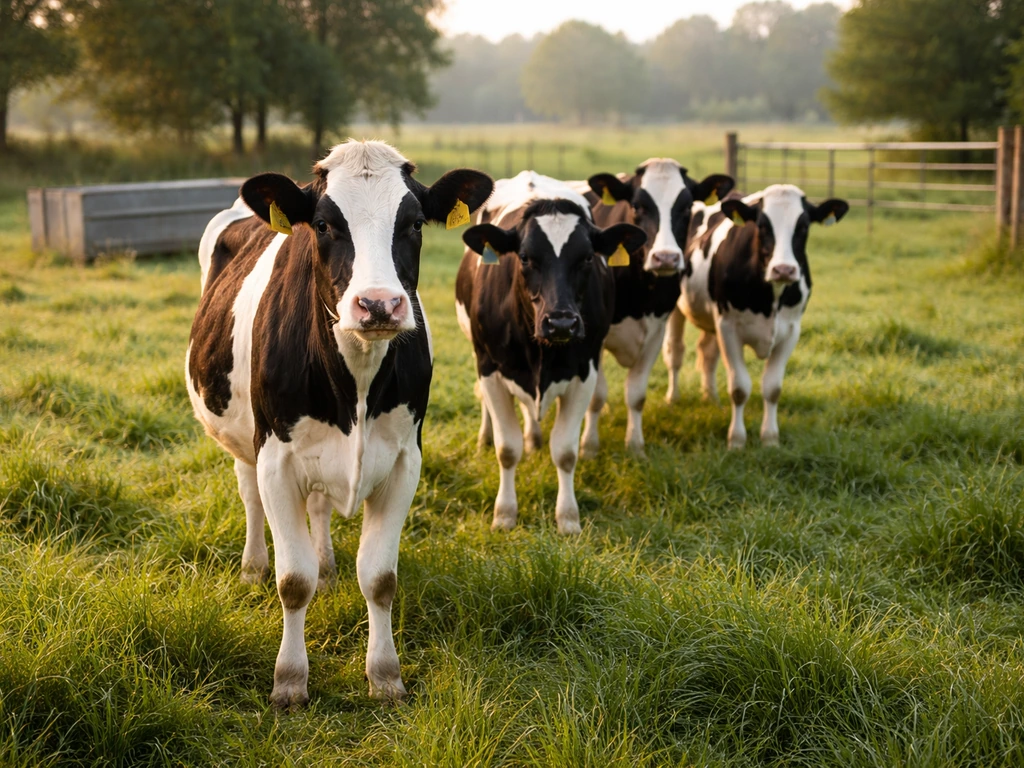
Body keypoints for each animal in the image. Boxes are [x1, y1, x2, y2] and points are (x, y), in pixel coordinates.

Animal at [185, 139, 493, 708]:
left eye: (414, 223)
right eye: (325, 224)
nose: (378, 304)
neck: (357, 379)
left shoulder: (404, 461)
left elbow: (379, 577)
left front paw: (385, 676)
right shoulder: (276, 460)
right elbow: (293, 581)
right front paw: (289, 681)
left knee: (320, 507)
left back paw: (327, 564)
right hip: (244, 440)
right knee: (248, 495)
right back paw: (252, 567)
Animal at [455, 171, 646, 534]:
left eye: (587, 258)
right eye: (525, 257)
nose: (561, 323)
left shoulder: (584, 372)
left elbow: (566, 452)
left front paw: (568, 517)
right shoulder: (490, 368)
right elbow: (507, 449)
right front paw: (505, 514)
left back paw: (534, 438)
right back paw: (488, 437)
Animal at [574, 159, 734, 456]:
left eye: (687, 206)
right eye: (638, 206)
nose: (666, 258)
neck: (638, 292)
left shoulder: (655, 330)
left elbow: (636, 395)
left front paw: (635, 446)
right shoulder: (594, 337)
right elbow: (596, 395)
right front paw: (589, 447)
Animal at [663, 184, 848, 448]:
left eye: (803, 226)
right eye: (762, 225)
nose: (784, 269)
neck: (770, 298)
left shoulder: (791, 331)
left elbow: (772, 388)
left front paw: (770, 439)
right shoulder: (728, 328)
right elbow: (739, 388)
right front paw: (737, 441)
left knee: (707, 353)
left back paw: (711, 398)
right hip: (677, 308)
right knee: (675, 351)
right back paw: (673, 398)